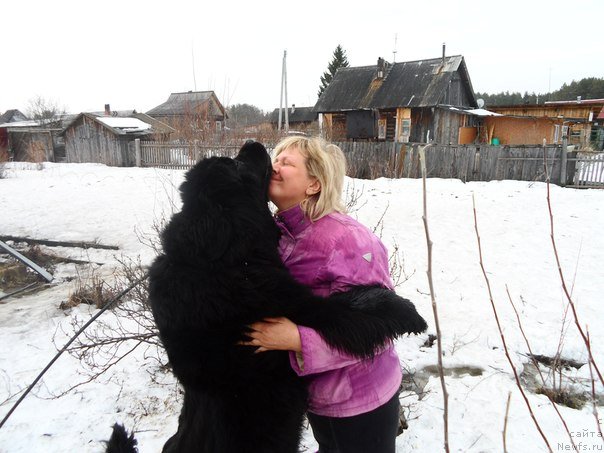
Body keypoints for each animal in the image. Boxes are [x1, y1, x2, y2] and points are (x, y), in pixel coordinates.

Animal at [106, 139, 428, 450]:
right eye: (237, 165)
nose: (251, 141)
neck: (221, 257)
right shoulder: (307, 307)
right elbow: (358, 307)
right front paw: (410, 314)